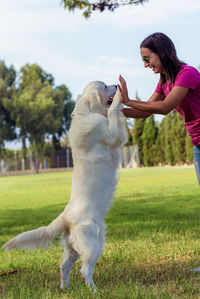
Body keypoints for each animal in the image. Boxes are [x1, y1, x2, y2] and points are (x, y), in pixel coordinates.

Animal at [1, 81, 128, 290]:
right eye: (104, 86)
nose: (116, 85)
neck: (85, 113)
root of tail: (65, 217)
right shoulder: (111, 134)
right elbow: (113, 115)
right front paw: (119, 99)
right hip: (93, 245)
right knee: (85, 270)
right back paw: (93, 289)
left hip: (74, 248)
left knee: (64, 266)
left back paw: (65, 287)